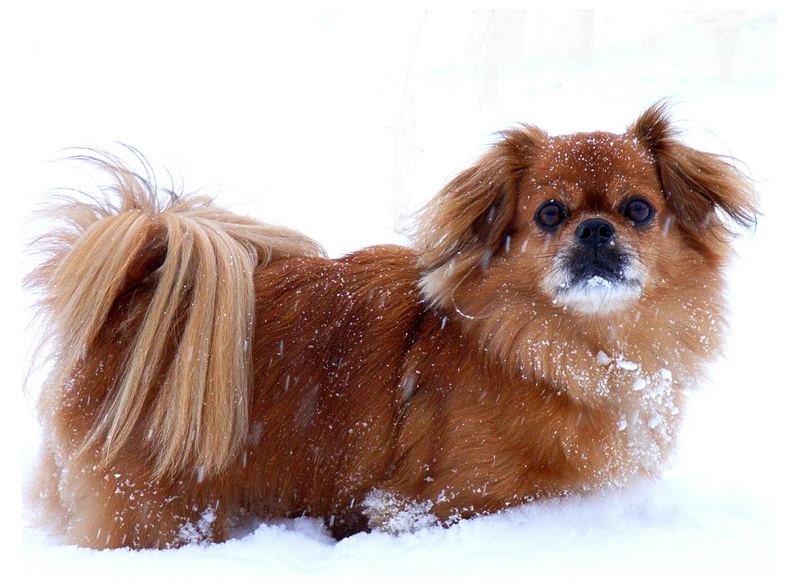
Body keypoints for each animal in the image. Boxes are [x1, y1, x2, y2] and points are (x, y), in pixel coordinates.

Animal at [23, 102, 752, 544]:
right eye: (550, 214)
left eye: (638, 209)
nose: (596, 231)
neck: (567, 347)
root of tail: (135, 297)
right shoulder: (440, 505)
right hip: (165, 511)